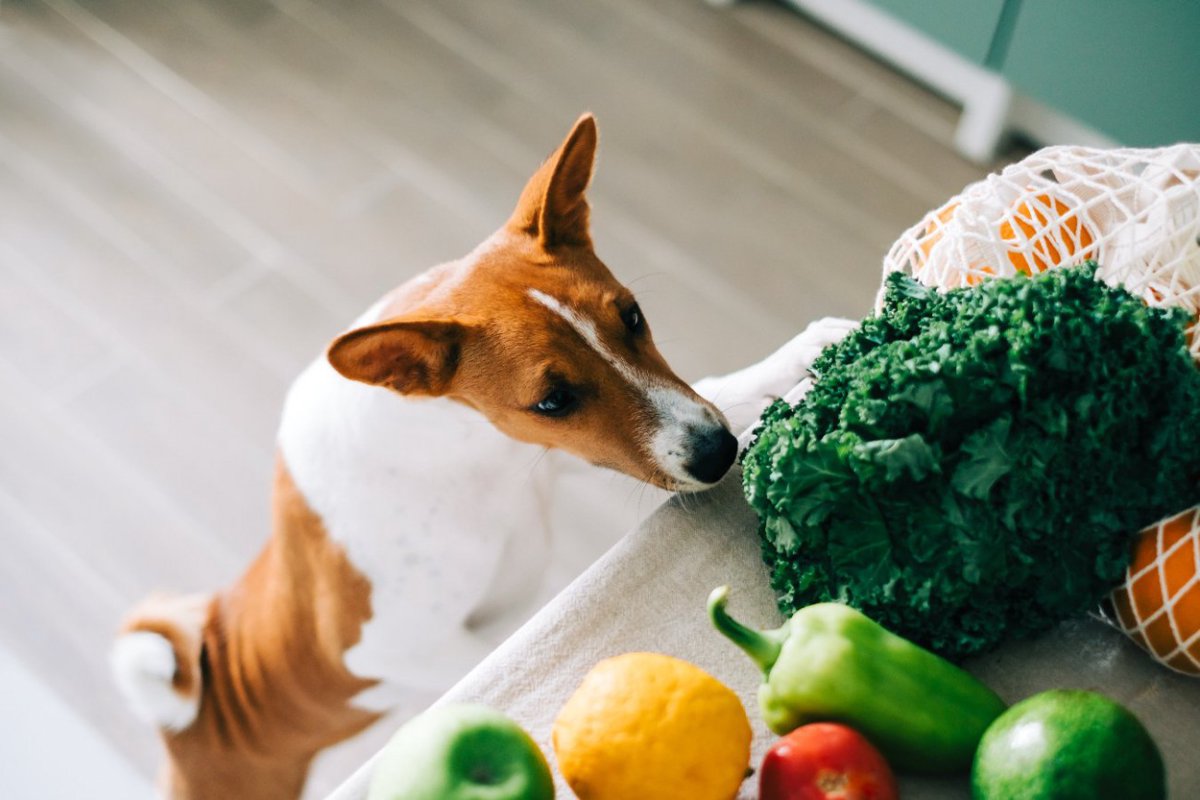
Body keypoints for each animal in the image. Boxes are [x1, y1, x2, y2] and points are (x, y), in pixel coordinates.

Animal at [108, 113, 849, 800]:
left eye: (633, 316)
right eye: (552, 400)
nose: (717, 452)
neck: (466, 458)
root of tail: (186, 724)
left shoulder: (560, 454)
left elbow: (720, 389)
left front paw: (799, 357)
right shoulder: (393, 646)